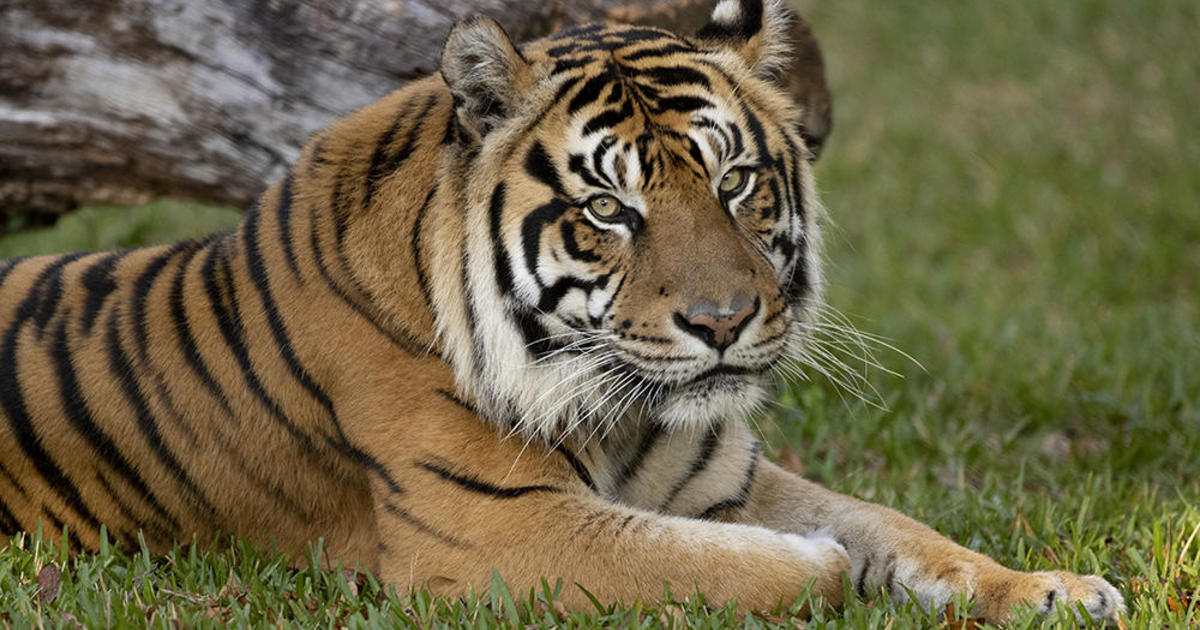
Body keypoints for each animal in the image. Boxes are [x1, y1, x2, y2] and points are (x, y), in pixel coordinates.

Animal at [0, 0, 1123, 619]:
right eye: (608, 210)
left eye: (736, 183)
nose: (723, 323)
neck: (616, 406)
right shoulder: (494, 532)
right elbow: (758, 568)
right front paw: (822, 565)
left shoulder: (720, 477)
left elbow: (898, 525)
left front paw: (1054, 591)